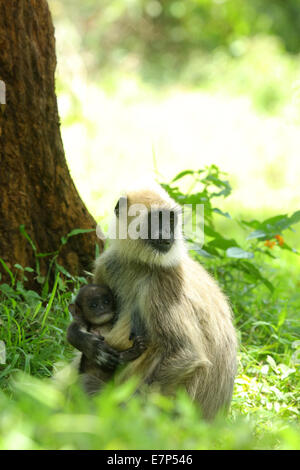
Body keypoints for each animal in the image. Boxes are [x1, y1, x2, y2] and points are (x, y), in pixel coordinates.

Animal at [92, 183, 238, 418]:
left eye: (170, 220)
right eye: (156, 219)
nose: (168, 234)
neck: (140, 263)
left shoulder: (164, 282)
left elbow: (187, 353)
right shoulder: (106, 265)